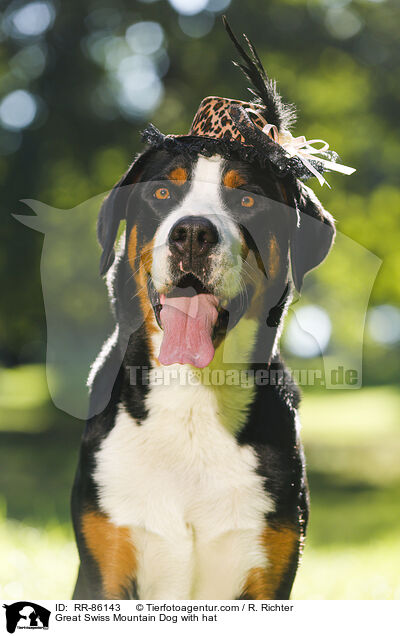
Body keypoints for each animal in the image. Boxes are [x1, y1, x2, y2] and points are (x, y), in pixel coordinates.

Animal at [71, 17, 354, 600]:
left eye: (246, 200)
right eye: (161, 193)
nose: (194, 234)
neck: (192, 400)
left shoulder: (269, 573)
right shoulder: (104, 568)